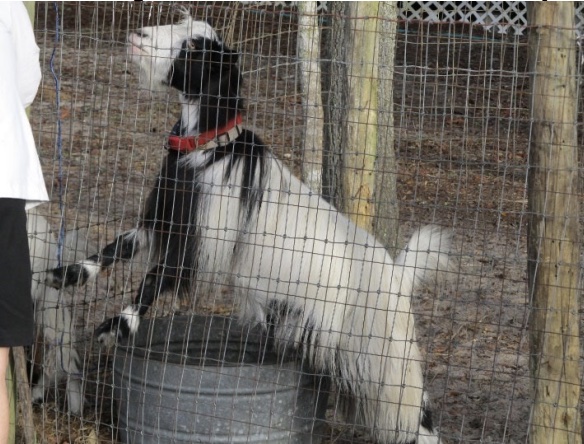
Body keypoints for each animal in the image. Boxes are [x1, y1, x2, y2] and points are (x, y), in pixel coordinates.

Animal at [46, 13, 452, 444]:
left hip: (387, 360)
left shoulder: (201, 242)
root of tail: (399, 274)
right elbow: (114, 248)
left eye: (195, 47)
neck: (211, 151)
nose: (138, 35)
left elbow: (155, 279)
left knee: (415, 414)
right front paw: (64, 275)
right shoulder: (165, 222)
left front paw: (116, 326)